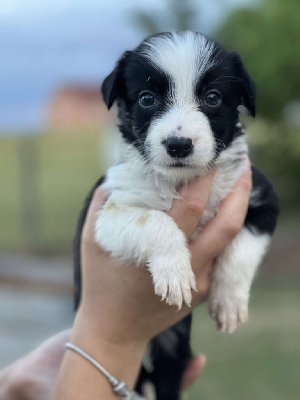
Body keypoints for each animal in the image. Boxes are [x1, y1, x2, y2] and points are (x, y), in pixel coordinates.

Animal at [74, 32, 280, 400]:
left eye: (213, 98)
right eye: (147, 98)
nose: (179, 144)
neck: (181, 180)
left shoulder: (260, 199)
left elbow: (241, 252)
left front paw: (229, 302)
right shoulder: (108, 213)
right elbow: (156, 221)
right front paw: (175, 274)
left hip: (173, 349)